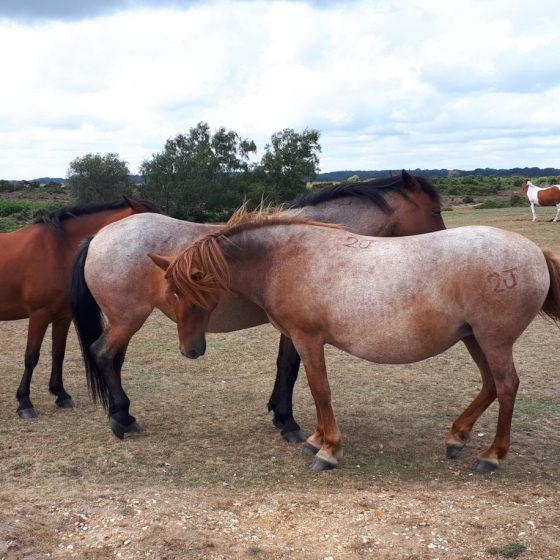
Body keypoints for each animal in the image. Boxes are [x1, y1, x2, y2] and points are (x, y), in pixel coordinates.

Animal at [1, 195, 158, 418]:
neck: (58, 252)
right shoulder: (39, 315)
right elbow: (31, 357)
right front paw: (24, 402)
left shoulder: (62, 316)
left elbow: (58, 353)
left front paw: (61, 394)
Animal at [144, 210, 560, 472]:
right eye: (171, 295)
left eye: (189, 294)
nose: (190, 350)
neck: (283, 258)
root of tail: (534, 251)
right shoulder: (298, 339)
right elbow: (311, 388)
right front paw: (316, 438)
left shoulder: (308, 339)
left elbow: (319, 389)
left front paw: (328, 450)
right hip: (474, 339)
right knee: (490, 385)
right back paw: (456, 437)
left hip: (493, 340)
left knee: (506, 386)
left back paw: (492, 456)